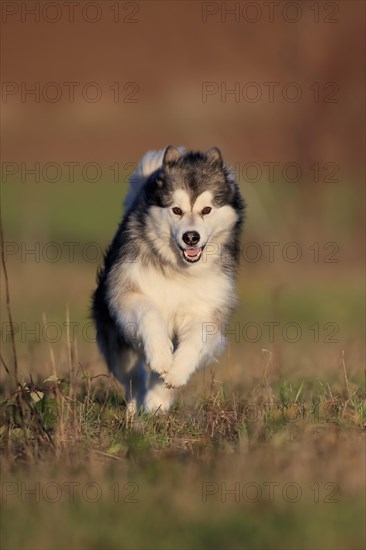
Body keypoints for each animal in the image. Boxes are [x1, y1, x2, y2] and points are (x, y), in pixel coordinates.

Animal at [93, 147, 244, 414]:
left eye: (206, 210)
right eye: (176, 210)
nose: (191, 237)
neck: (180, 271)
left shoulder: (207, 310)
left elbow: (195, 339)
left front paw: (173, 376)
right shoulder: (128, 293)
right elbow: (149, 315)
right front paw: (161, 356)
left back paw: (156, 402)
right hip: (118, 345)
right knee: (133, 379)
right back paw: (135, 408)